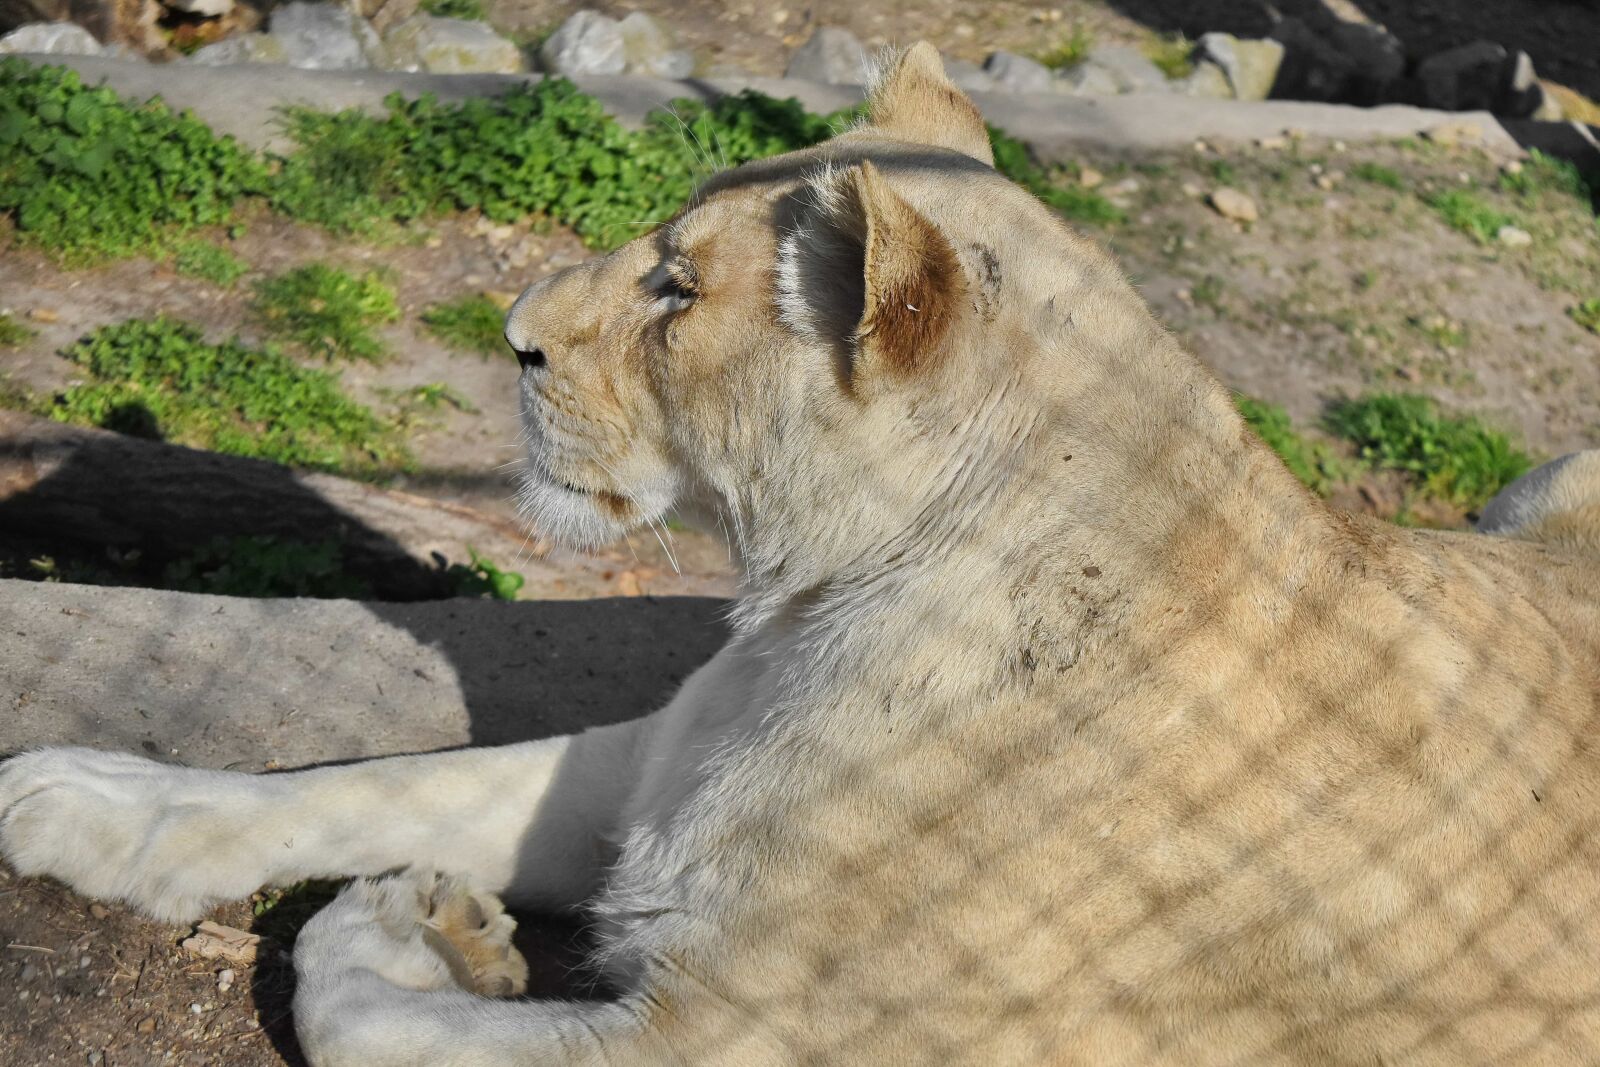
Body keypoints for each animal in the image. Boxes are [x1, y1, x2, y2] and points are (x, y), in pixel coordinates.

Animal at [4, 44, 1600, 1066]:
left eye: (675, 287)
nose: (512, 333)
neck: (811, 608)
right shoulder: (654, 778)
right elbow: (375, 779)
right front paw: (88, 794)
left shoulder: (743, 1039)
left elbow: (354, 1008)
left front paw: (415, 929)